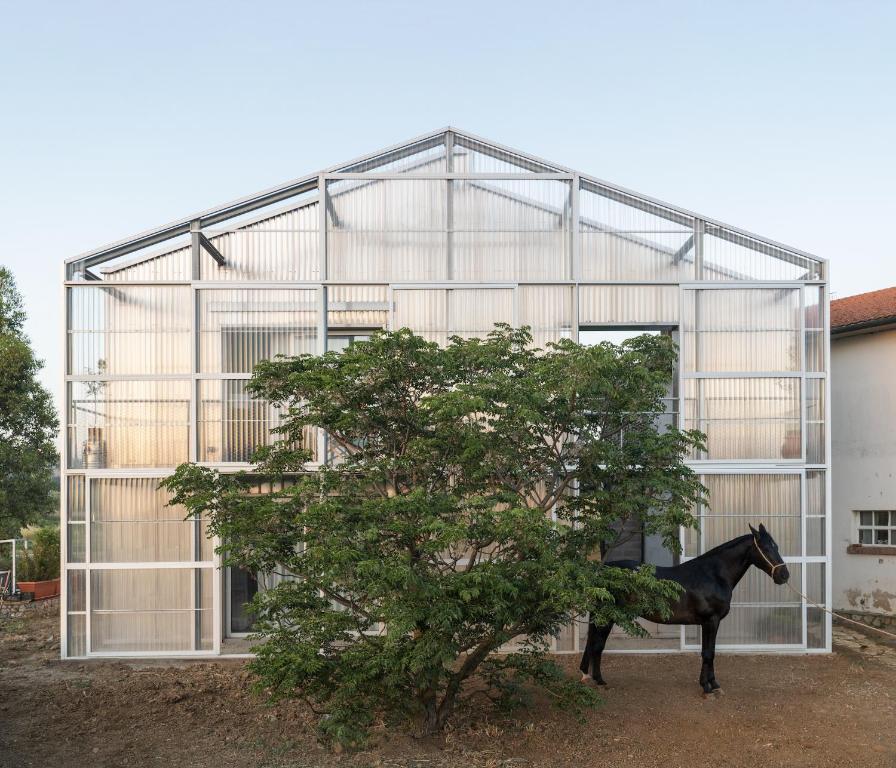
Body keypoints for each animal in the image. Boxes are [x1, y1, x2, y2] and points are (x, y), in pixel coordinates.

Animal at [576, 520, 788, 696]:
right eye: (765, 547)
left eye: (776, 546)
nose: (784, 575)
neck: (714, 575)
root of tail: (602, 572)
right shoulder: (711, 621)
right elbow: (708, 653)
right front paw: (707, 687)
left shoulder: (710, 623)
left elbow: (710, 652)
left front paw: (714, 684)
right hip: (606, 617)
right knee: (597, 645)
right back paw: (599, 680)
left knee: (597, 645)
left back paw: (597, 679)